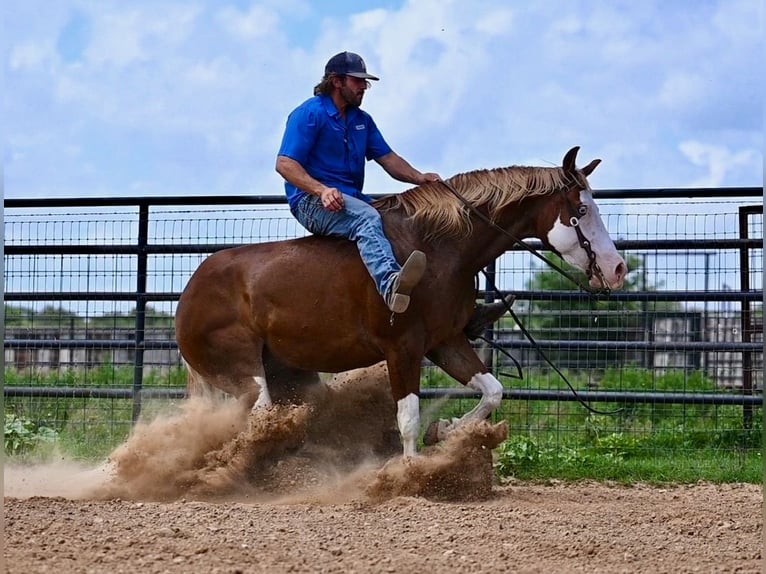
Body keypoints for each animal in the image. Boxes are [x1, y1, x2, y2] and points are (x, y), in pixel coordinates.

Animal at [176, 148, 632, 460]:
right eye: (581, 209)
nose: (617, 269)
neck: (437, 249)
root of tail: (191, 290)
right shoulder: (403, 348)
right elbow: (408, 418)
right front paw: (411, 472)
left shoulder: (444, 341)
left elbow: (492, 391)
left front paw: (446, 430)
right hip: (243, 373)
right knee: (254, 417)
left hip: (290, 373)